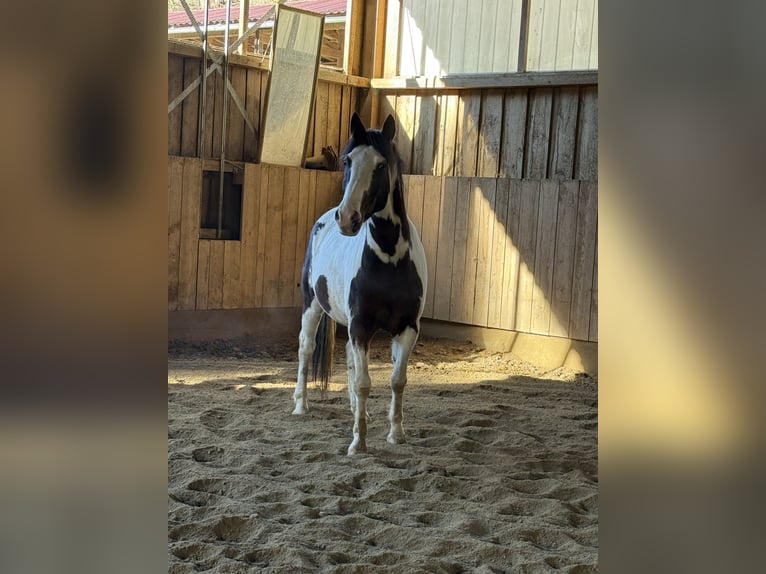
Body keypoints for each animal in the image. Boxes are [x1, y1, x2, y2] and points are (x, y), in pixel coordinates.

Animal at [292, 112, 428, 456]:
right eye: (347, 160)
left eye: (381, 165)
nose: (347, 218)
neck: (390, 259)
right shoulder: (361, 326)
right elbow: (364, 383)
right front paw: (358, 443)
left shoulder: (407, 328)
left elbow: (396, 380)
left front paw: (396, 434)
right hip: (312, 307)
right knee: (306, 348)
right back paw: (301, 405)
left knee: (351, 363)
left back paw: (359, 412)